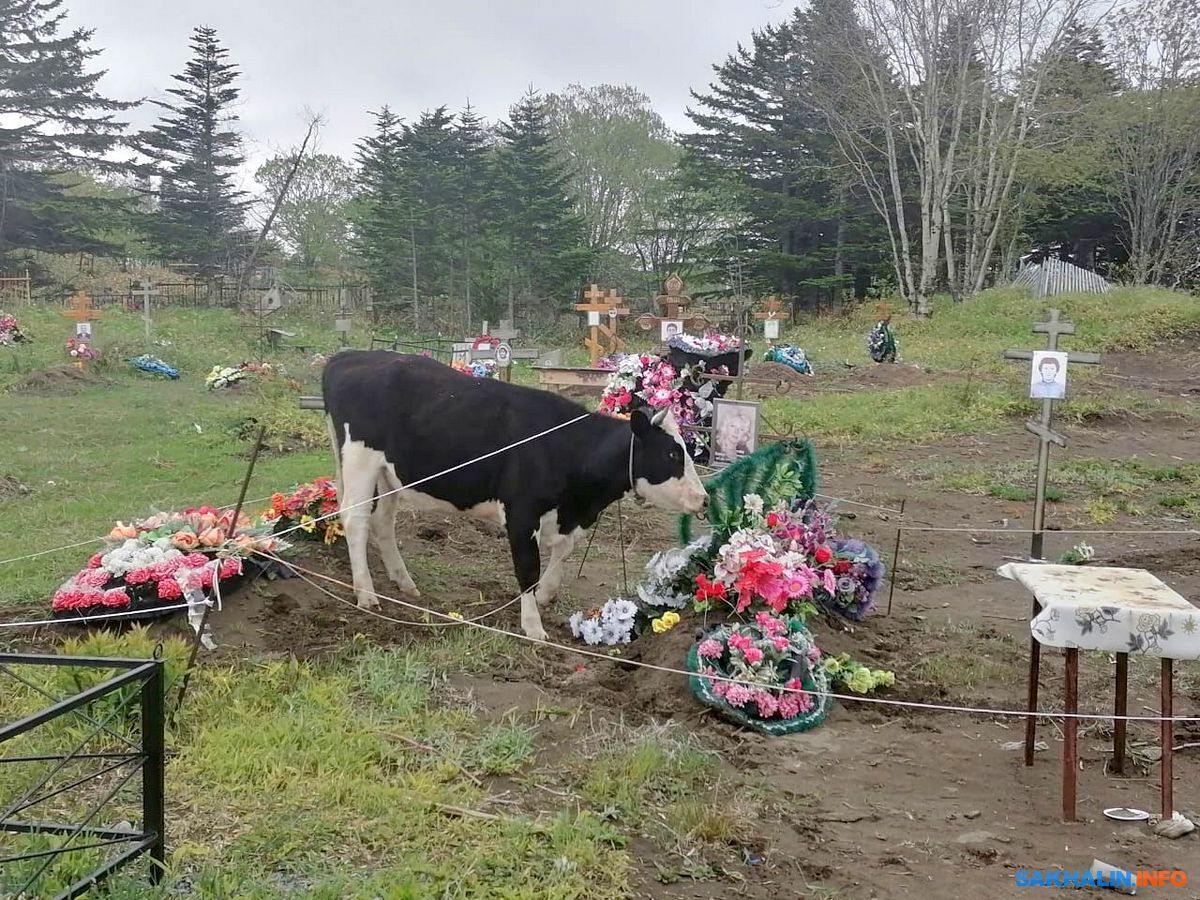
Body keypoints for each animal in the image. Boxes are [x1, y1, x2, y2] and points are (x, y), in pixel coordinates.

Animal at [324, 350, 705, 643]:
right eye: (673, 454)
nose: (702, 498)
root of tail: (350, 356)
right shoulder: (521, 514)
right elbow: (528, 567)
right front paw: (533, 626)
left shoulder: (566, 517)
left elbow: (563, 551)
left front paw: (547, 594)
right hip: (360, 460)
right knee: (356, 520)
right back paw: (366, 593)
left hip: (389, 473)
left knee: (382, 522)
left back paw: (405, 583)